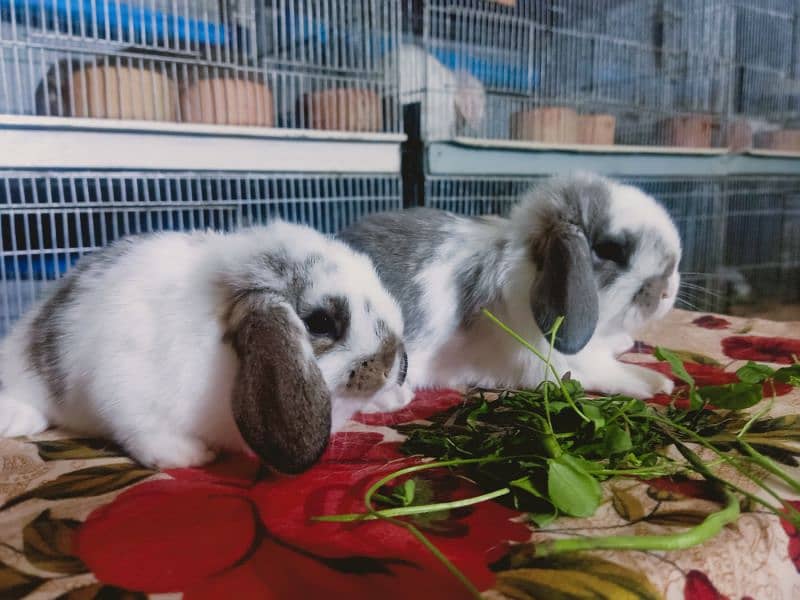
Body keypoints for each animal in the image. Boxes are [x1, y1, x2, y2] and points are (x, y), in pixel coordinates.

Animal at [0, 223, 412, 472]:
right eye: (321, 322)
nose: (395, 363)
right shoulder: (121, 387)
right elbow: (142, 430)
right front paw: (189, 455)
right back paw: (17, 418)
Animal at [340, 172, 684, 398]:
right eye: (610, 250)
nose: (668, 290)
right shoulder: (558, 365)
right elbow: (608, 372)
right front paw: (656, 382)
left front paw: (625, 343)